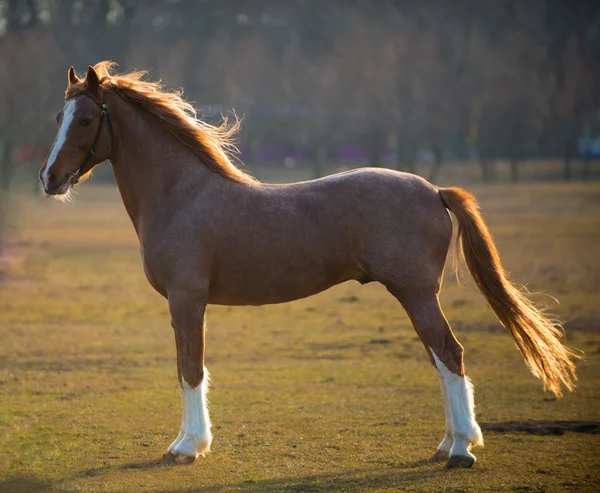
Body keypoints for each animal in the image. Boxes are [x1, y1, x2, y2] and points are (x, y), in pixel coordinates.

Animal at [38, 63, 576, 468]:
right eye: (59, 115)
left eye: (84, 120)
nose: (49, 179)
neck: (181, 196)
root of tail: (434, 190)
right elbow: (190, 367)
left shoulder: (186, 300)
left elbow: (189, 368)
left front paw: (188, 447)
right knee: (439, 359)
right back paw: (447, 444)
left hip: (418, 294)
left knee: (449, 353)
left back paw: (462, 448)